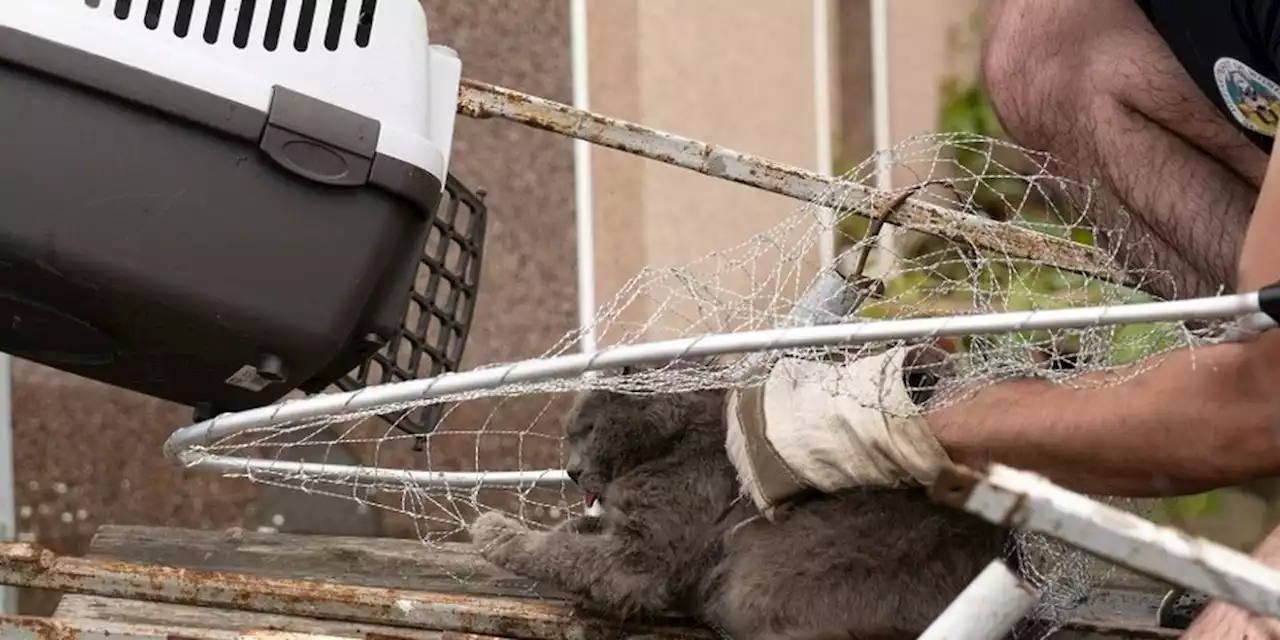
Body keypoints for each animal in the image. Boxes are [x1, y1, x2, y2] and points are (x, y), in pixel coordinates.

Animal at [471, 363, 1018, 637]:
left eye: (584, 431)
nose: (570, 469)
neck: (677, 443)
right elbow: (570, 533)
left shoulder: (642, 555)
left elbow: (565, 552)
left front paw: (496, 533)